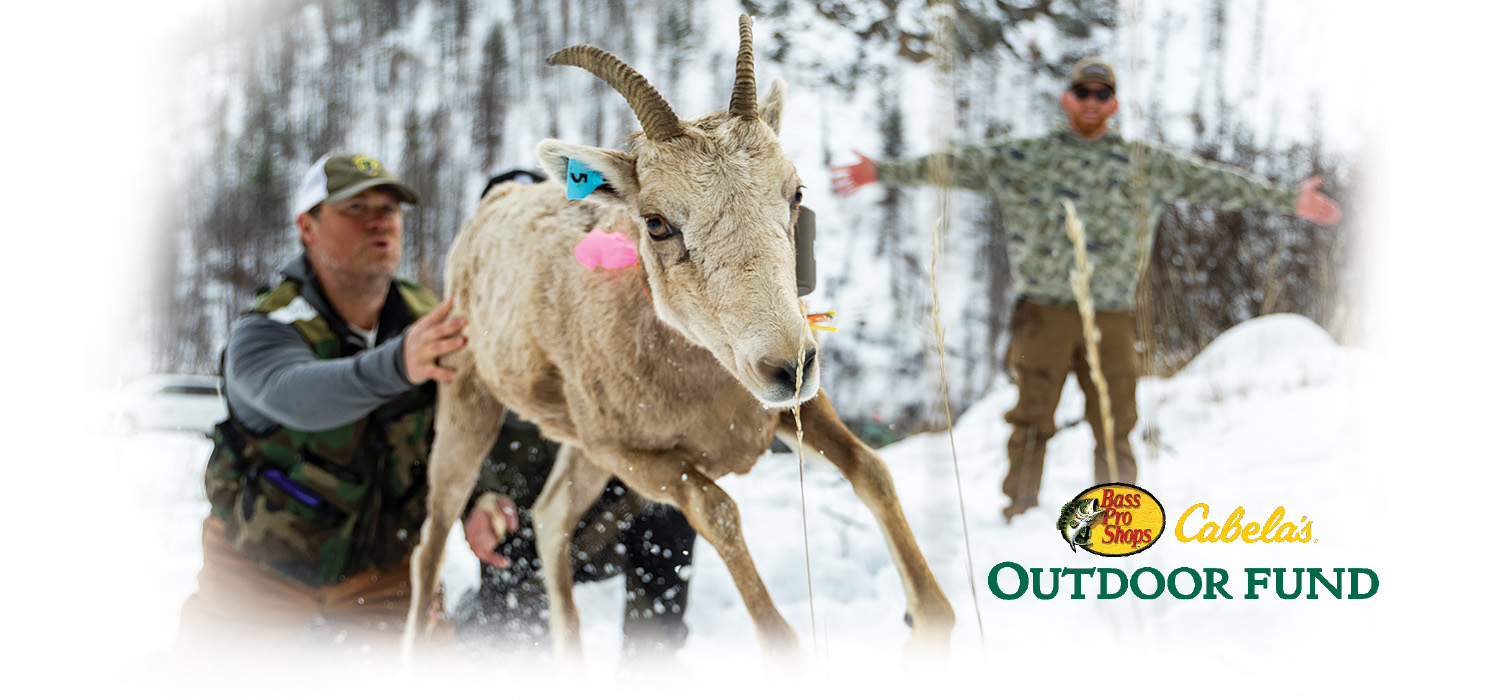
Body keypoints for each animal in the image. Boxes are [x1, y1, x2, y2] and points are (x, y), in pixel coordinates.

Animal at [403, 14, 955, 664]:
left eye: (795, 194)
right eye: (657, 222)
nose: (787, 367)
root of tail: (486, 214)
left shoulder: (794, 411)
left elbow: (871, 471)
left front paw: (929, 622)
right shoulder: (637, 459)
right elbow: (720, 513)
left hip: (577, 453)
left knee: (549, 517)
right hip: (469, 410)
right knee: (432, 543)